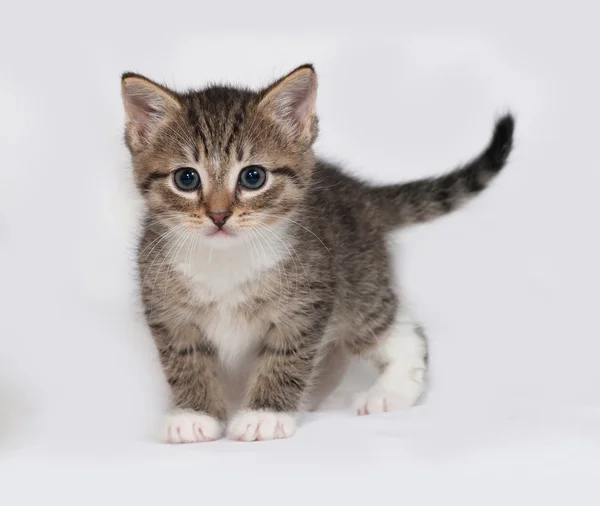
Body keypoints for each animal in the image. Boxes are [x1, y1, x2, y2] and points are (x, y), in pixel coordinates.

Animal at [119, 63, 512, 442]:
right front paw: (194, 415)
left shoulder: (307, 302)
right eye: (186, 179)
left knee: (400, 330)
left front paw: (265, 415)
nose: (218, 215)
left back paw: (390, 391)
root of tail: (360, 194)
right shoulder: (166, 309)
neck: (227, 259)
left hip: (359, 286)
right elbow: (184, 360)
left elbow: (287, 357)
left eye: (252, 177)